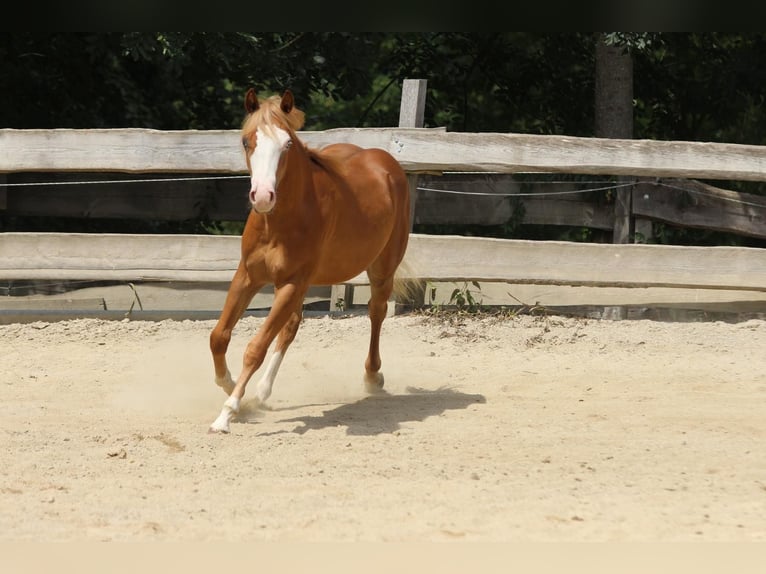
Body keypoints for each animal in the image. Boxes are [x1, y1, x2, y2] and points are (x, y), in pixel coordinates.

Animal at [208, 88, 411, 434]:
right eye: (247, 141)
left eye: (287, 144)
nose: (263, 196)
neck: (278, 223)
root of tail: (385, 163)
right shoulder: (249, 276)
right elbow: (219, 337)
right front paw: (230, 384)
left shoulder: (291, 283)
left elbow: (255, 348)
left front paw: (227, 413)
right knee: (290, 328)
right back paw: (262, 392)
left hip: (381, 268)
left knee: (376, 312)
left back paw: (373, 376)